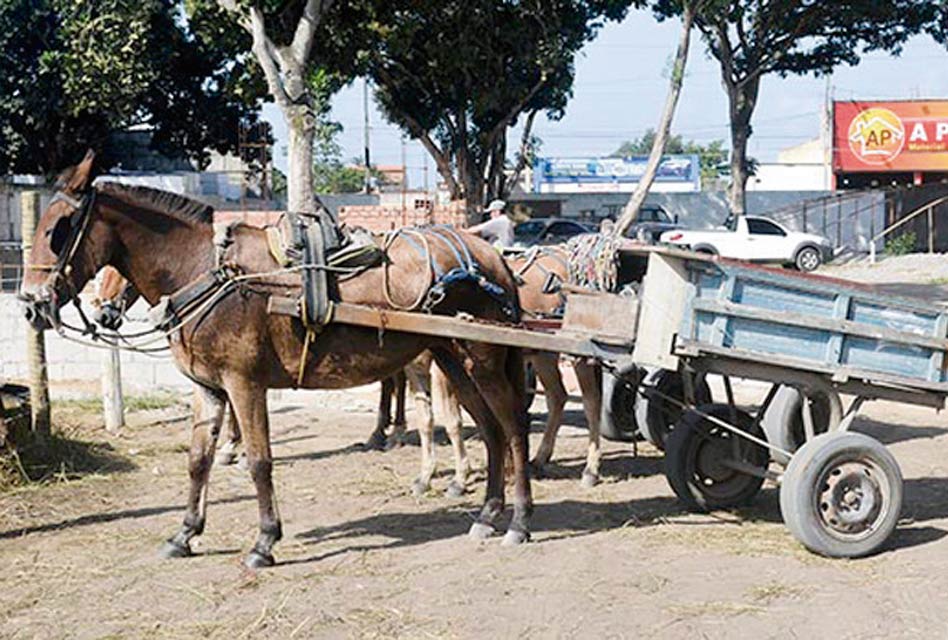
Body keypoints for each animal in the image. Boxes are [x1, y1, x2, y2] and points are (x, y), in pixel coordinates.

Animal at [18, 154, 532, 564]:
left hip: (483, 360)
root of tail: (492, 257)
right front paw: (185, 534)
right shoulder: (209, 387)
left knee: (512, 428)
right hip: (454, 359)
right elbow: (198, 460)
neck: (207, 272)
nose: (30, 305)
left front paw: (265, 541)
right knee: (490, 431)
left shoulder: (244, 384)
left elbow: (260, 461)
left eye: (58, 230)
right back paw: (488, 513)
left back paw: (519, 521)